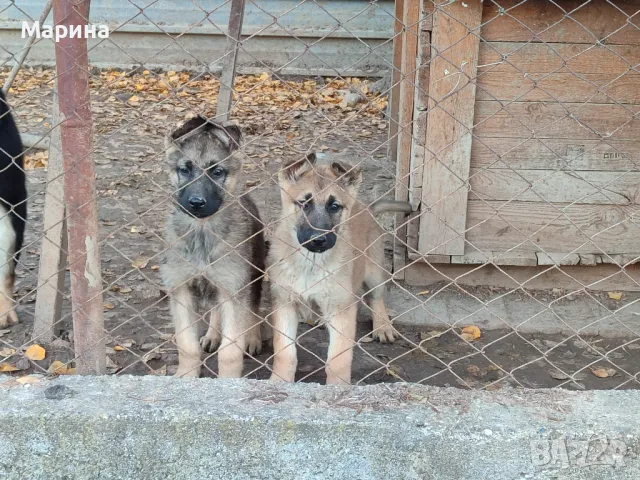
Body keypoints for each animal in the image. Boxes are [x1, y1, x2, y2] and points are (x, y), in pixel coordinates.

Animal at [162, 116, 268, 378]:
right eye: (185, 169)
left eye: (218, 172)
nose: (196, 203)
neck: (202, 232)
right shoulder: (181, 289)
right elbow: (186, 344)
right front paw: (187, 375)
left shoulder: (234, 288)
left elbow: (230, 351)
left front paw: (228, 380)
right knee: (216, 310)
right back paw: (212, 335)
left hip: (253, 274)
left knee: (253, 307)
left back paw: (252, 338)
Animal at [268, 152, 412, 384]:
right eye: (304, 204)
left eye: (334, 206)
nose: (319, 240)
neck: (311, 263)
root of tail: (366, 208)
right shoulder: (284, 303)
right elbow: (284, 352)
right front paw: (279, 381)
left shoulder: (341, 308)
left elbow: (338, 359)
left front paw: (337, 386)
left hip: (374, 273)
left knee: (376, 298)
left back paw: (383, 327)